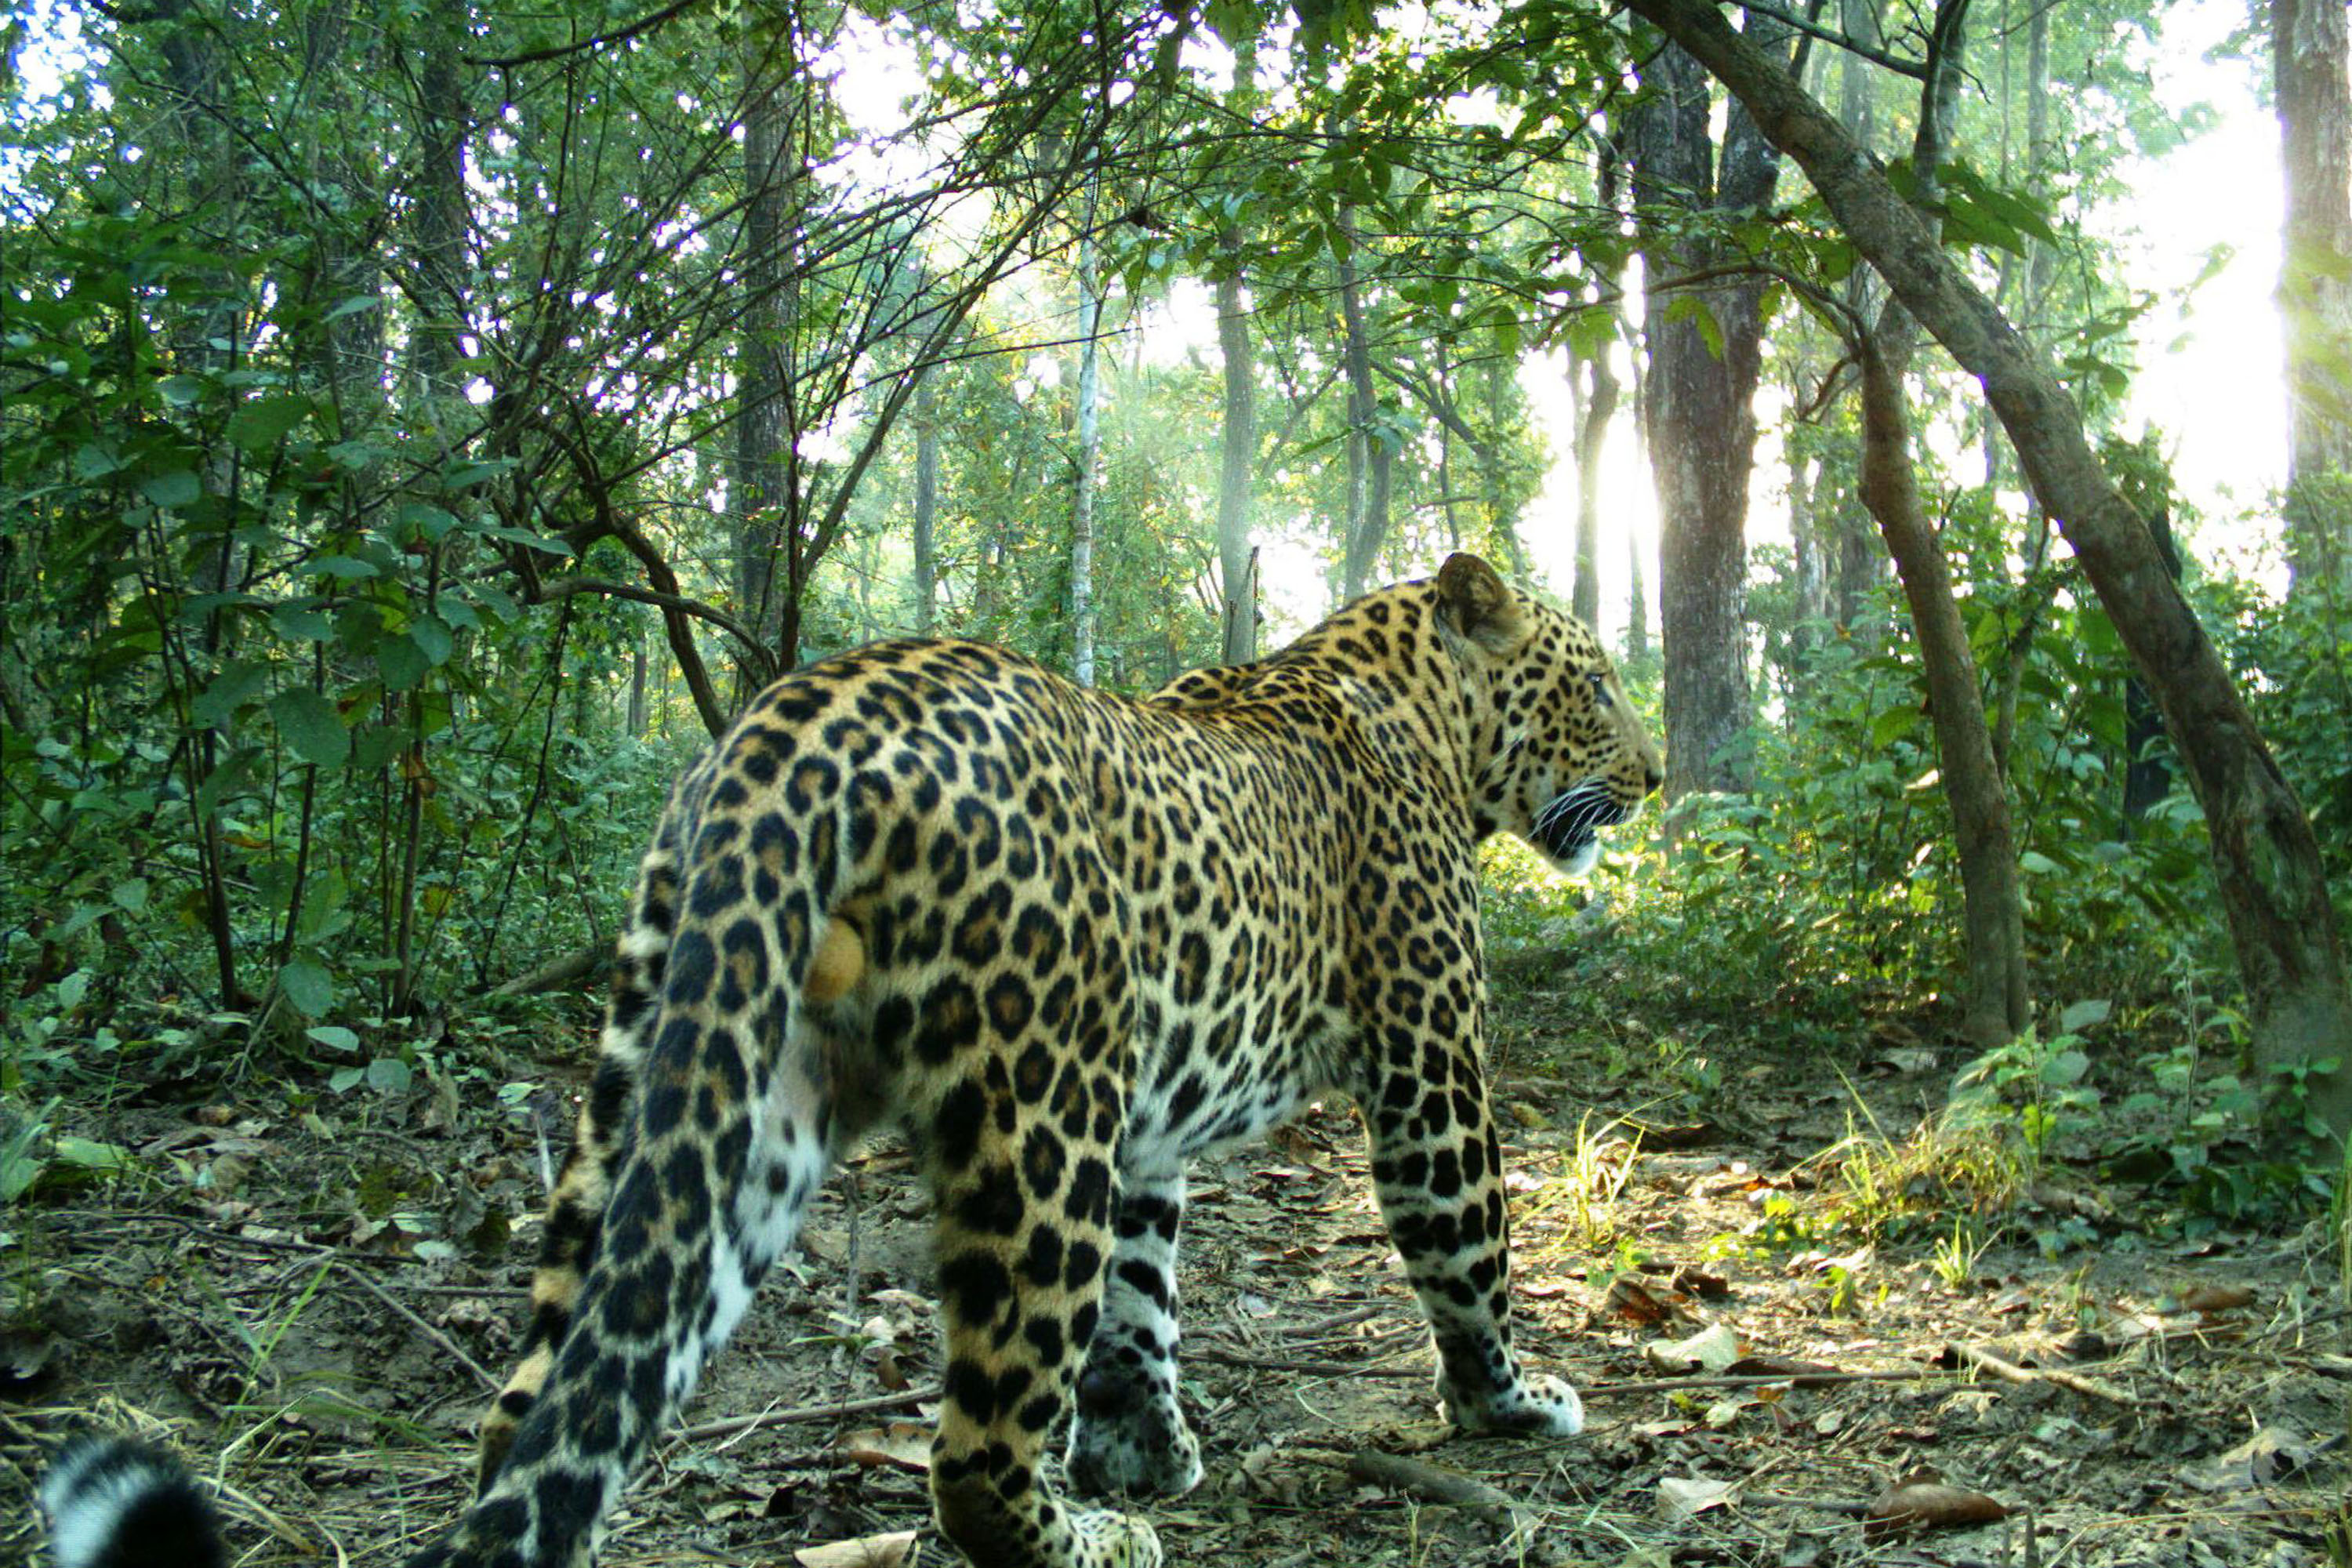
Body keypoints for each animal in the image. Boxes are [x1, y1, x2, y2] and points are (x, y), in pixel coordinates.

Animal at [60, 552, 1675, 1568]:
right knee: (975, 1454)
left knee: (541, 1408)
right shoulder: (1429, 1066)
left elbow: (1143, 1305)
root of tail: (789, 728)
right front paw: (1512, 1405)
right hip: (1039, 1111)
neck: (1415, 712)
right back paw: (1088, 1542)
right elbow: (1466, 1248)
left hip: (703, 1086)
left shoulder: (1150, 1131)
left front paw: (1148, 1447)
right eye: (1597, 683)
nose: (1660, 777)